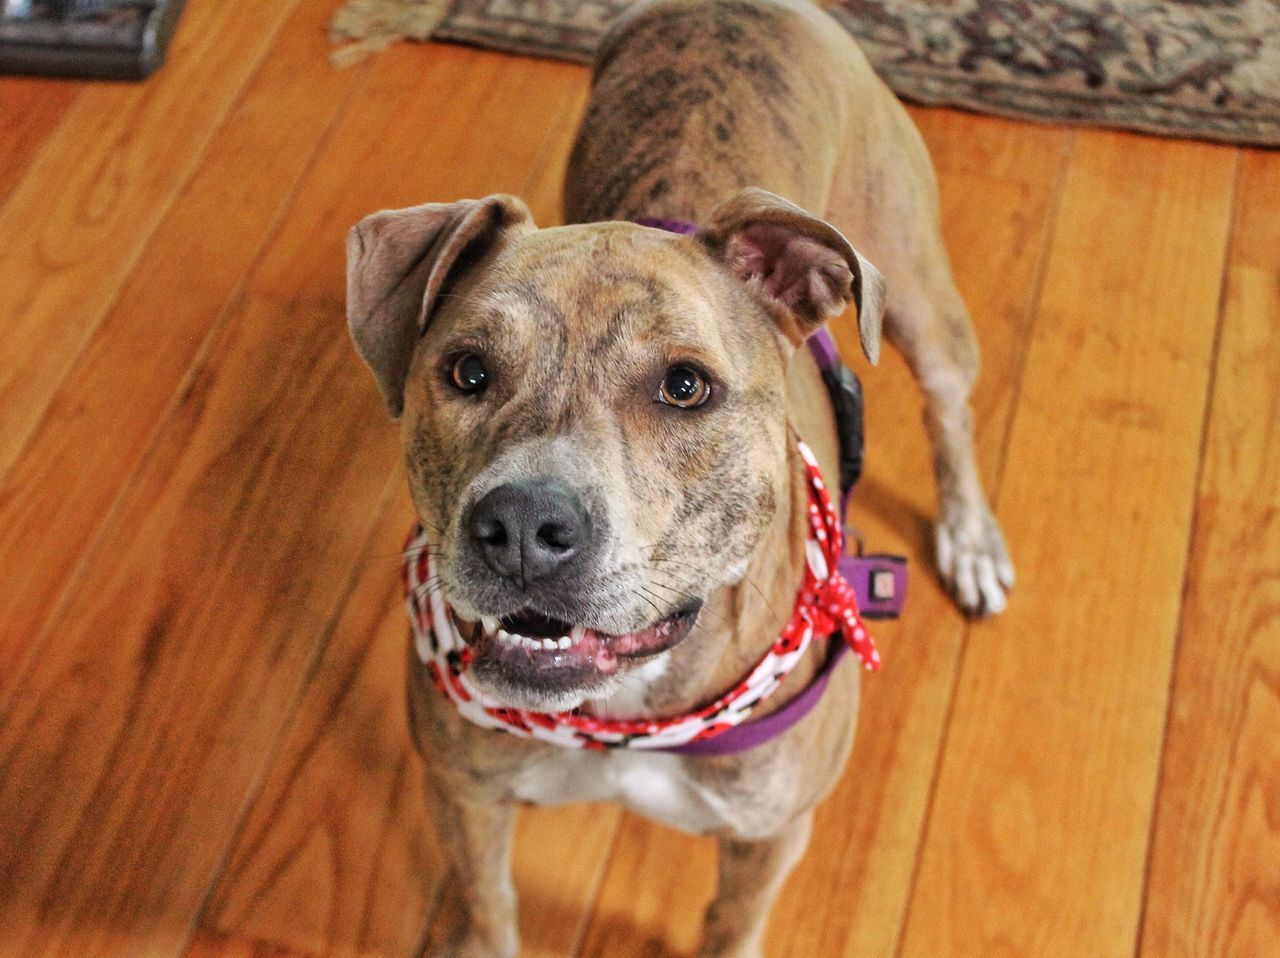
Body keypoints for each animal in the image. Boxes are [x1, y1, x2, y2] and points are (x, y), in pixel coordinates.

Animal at [345, 1, 1013, 957]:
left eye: (686, 387)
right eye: (467, 371)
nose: (522, 526)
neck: (627, 717)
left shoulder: (771, 834)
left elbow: (731, 922)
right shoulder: (463, 794)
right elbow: (488, 901)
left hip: (917, 292)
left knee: (949, 408)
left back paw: (970, 539)